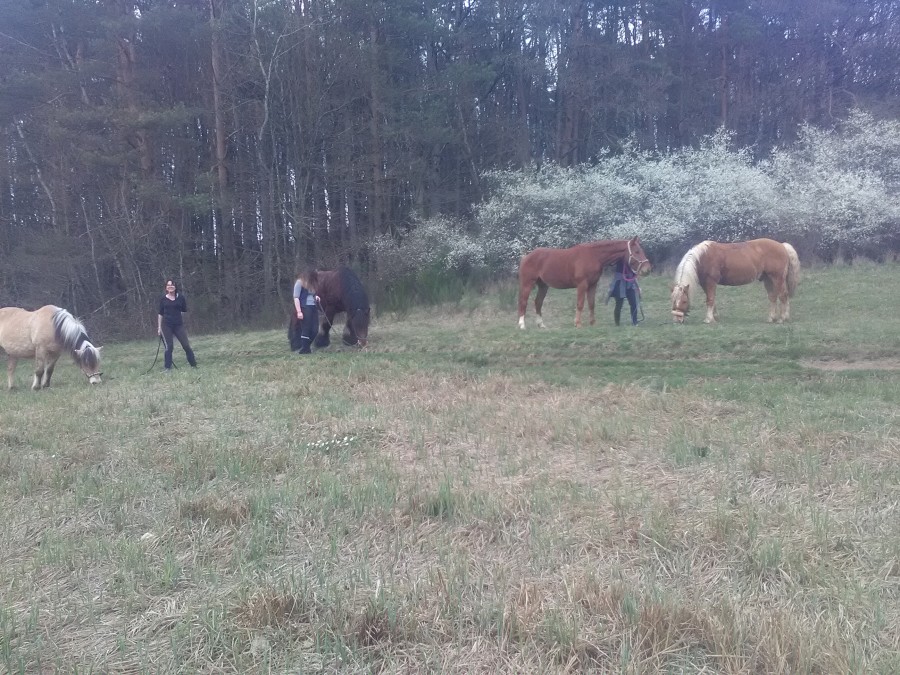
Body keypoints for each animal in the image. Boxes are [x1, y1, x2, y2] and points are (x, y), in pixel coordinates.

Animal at [517, 237, 651, 329]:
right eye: (637, 251)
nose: (647, 269)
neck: (593, 256)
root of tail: (526, 256)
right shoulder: (582, 285)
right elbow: (580, 304)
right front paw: (578, 324)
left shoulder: (592, 285)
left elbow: (591, 304)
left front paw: (593, 323)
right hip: (527, 284)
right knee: (523, 302)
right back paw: (522, 325)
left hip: (543, 286)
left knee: (538, 302)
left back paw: (541, 325)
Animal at [670, 238, 801, 324]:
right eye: (673, 301)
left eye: (684, 301)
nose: (677, 319)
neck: (702, 257)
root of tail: (782, 245)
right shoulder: (704, 284)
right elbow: (711, 299)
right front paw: (715, 317)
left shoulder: (711, 282)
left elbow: (710, 300)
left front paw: (708, 319)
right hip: (768, 279)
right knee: (773, 297)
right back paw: (771, 318)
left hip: (777, 278)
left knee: (783, 296)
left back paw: (782, 318)